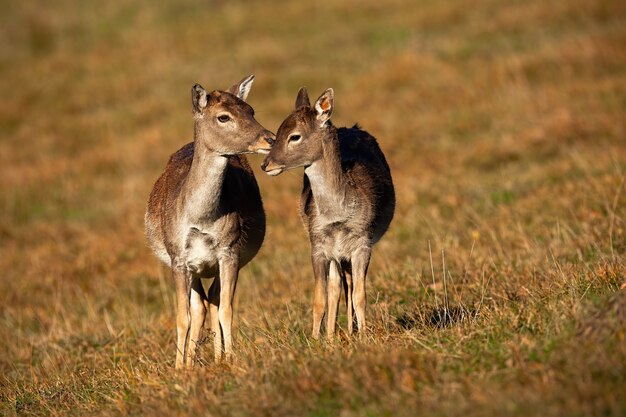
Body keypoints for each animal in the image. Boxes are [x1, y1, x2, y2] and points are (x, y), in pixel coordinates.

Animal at [146, 75, 276, 368]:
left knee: (213, 301)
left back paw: (216, 358)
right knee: (200, 306)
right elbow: (183, 315)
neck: (202, 219)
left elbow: (226, 308)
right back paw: (190, 362)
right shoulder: (178, 258)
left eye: (250, 110)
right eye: (223, 117)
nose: (270, 138)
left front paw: (230, 360)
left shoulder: (230, 251)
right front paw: (179, 368)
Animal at [260, 88, 392, 338]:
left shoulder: (362, 243)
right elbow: (320, 298)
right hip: (335, 254)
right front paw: (317, 339)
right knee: (336, 286)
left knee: (347, 284)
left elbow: (360, 295)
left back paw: (350, 331)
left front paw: (365, 337)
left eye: (294, 136)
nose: (265, 164)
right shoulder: (318, 246)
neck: (337, 215)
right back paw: (333, 335)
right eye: (276, 134)